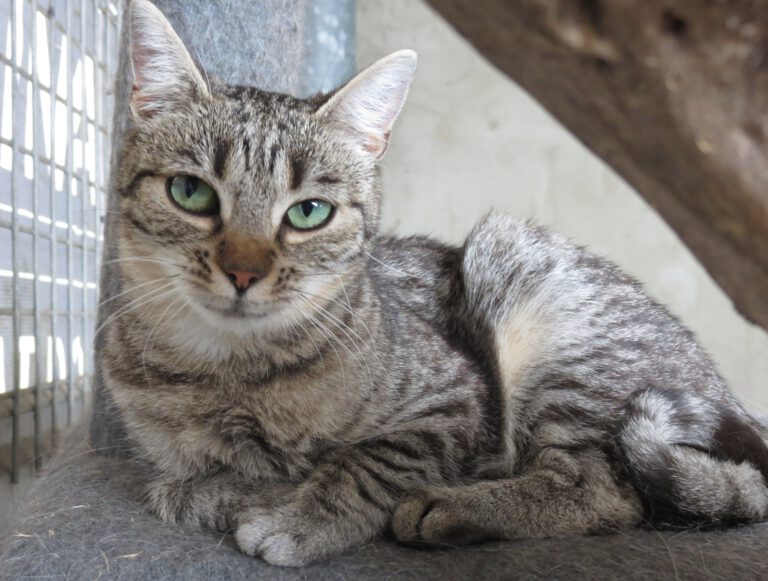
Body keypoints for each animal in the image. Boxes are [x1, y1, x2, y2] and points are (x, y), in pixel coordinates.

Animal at [102, 0, 768, 564]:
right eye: (190, 193)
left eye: (309, 212)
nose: (244, 270)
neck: (230, 373)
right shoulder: (163, 456)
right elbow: (181, 485)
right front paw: (243, 489)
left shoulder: (456, 397)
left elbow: (369, 460)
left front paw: (301, 516)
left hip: (533, 303)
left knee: (601, 489)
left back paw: (450, 509)